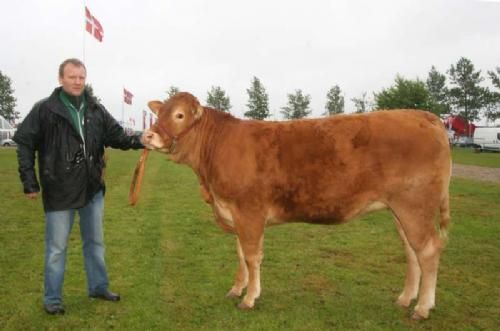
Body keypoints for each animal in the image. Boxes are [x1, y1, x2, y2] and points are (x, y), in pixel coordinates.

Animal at [140, 92, 450, 320]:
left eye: (179, 115)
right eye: (159, 113)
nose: (147, 136)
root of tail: (426, 116)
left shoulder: (249, 212)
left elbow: (252, 256)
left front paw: (250, 298)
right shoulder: (236, 214)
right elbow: (240, 254)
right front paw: (237, 289)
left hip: (415, 206)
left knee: (429, 249)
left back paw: (422, 308)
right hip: (401, 211)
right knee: (411, 251)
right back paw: (405, 299)